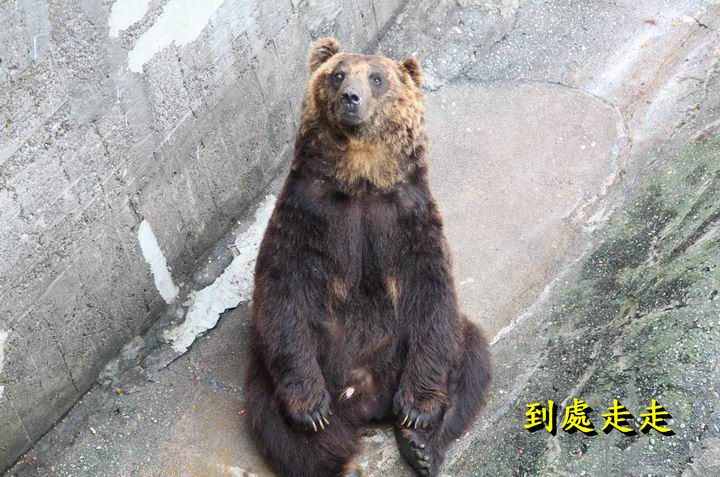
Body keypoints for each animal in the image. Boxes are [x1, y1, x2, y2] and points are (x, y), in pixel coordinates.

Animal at [244, 37, 492, 477]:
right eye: (338, 74)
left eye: (377, 78)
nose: (350, 97)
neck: (361, 179)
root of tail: (366, 400)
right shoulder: (306, 215)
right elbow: (282, 288)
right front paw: (311, 411)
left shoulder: (408, 219)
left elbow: (433, 290)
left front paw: (418, 413)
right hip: (286, 370)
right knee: (283, 430)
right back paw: (332, 450)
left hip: (403, 352)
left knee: (471, 356)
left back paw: (421, 445)